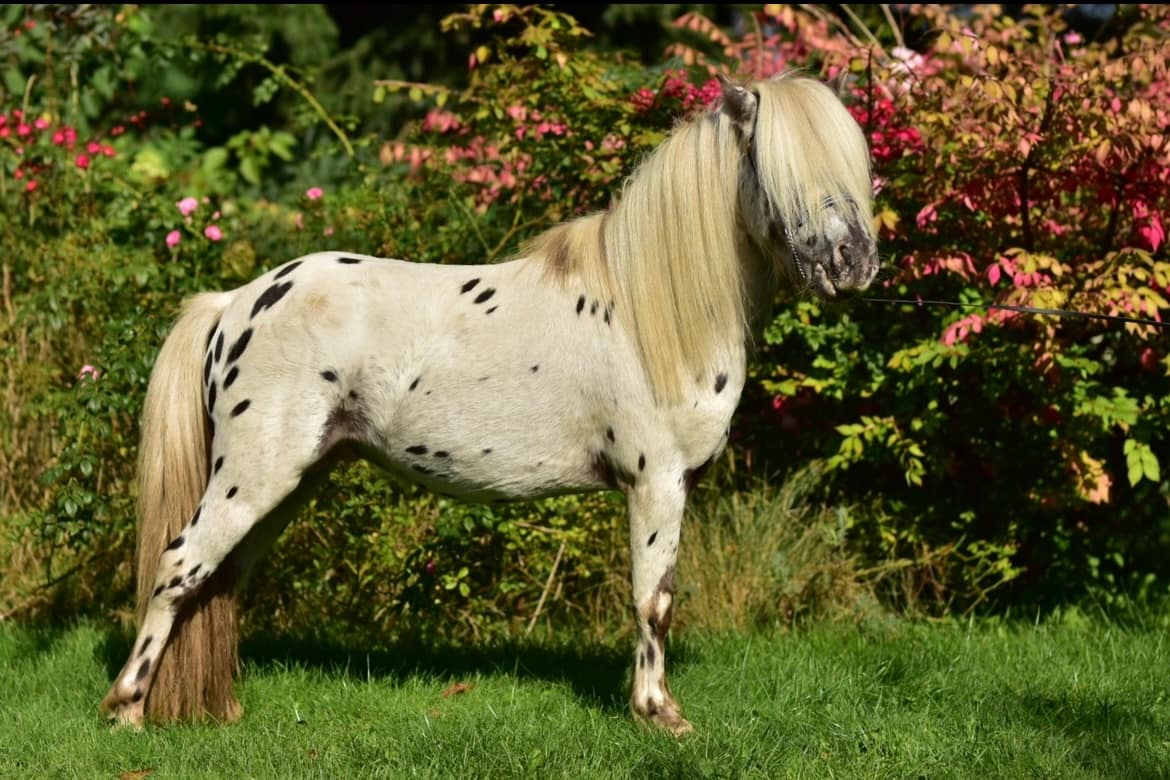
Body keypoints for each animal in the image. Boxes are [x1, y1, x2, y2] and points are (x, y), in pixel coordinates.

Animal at [99, 72, 878, 735]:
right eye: (777, 173)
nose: (855, 265)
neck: (649, 310)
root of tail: (235, 302)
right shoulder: (657, 482)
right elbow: (653, 600)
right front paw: (660, 714)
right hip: (253, 476)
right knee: (179, 567)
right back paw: (127, 710)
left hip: (291, 483)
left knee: (221, 579)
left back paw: (219, 709)